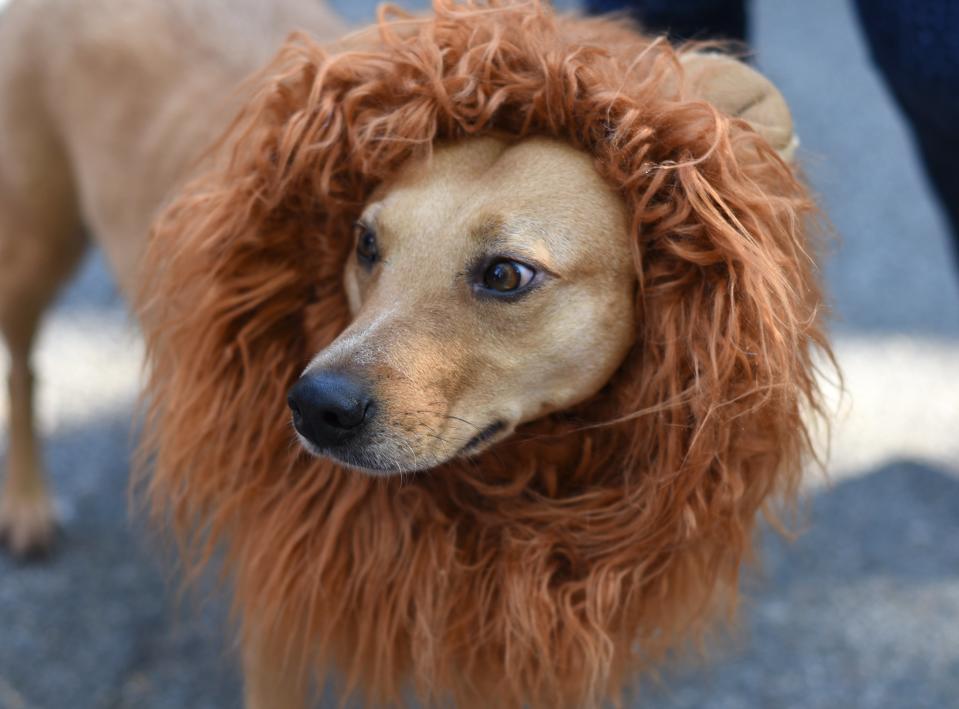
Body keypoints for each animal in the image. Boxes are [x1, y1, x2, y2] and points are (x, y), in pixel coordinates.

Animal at [0, 1, 824, 708]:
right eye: (366, 243)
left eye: (505, 274)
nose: (314, 408)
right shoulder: (282, 615)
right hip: (32, 248)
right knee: (24, 366)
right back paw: (29, 506)